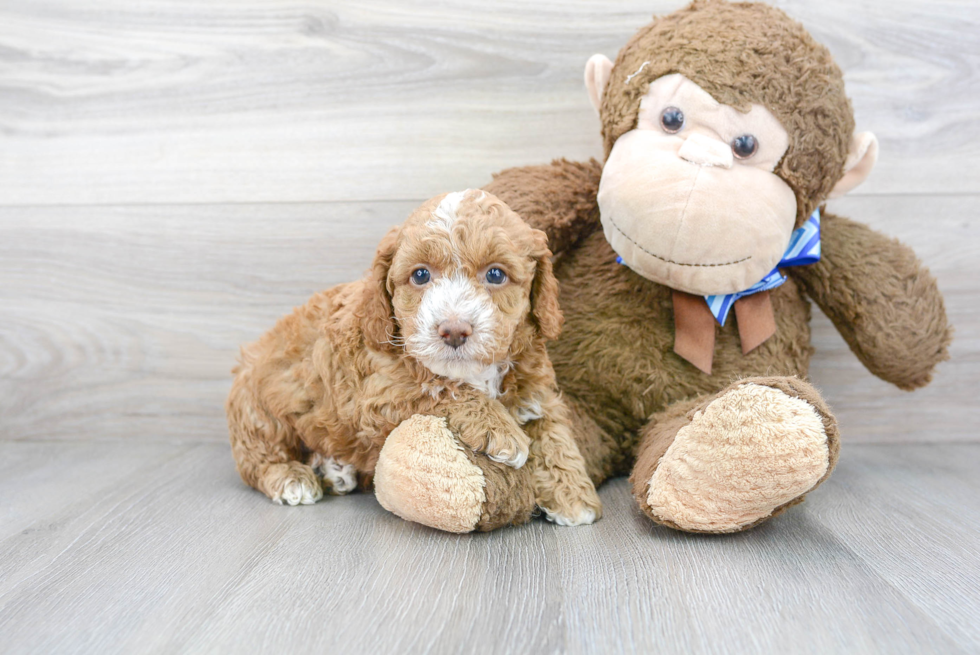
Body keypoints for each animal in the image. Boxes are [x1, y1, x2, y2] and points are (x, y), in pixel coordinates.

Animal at [227, 188, 600, 528]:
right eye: (421, 274)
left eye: (496, 274)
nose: (454, 330)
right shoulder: (376, 391)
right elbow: (443, 387)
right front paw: (500, 429)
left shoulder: (535, 384)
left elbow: (554, 432)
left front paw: (573, 495)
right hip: (258, 412)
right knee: (257, 459)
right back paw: (293, 477)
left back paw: (334, 469)